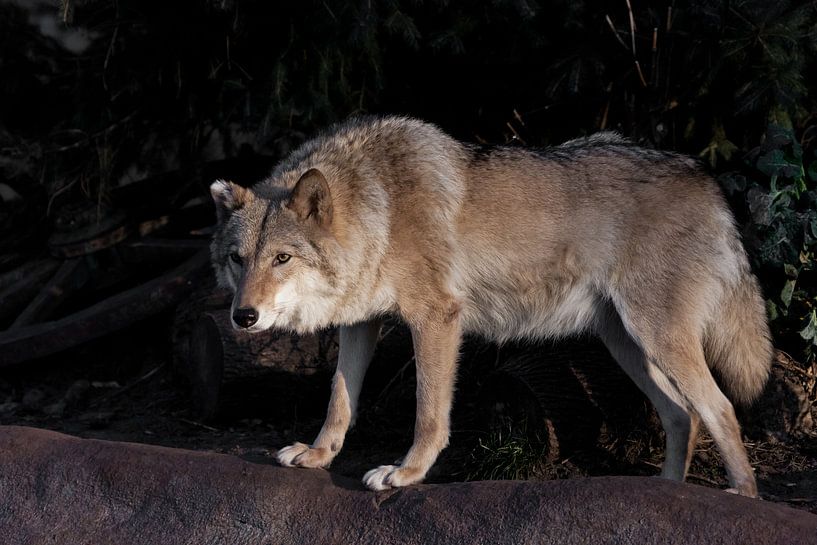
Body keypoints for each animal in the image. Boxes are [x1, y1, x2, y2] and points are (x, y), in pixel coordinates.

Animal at [209, 116, 772, 496]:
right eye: (238, 259)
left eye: (282, 258)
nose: (243, 317)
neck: (379, 207)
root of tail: (706, 180)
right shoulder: (361, 324)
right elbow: (338, 402)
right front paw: (318, 455)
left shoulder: (436, 319)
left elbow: (429, 412)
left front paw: (405, 473)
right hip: (629, 345)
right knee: (682, 416)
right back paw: (666, 491)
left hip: (659, 339)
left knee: (720, 408)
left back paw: (741, 495)